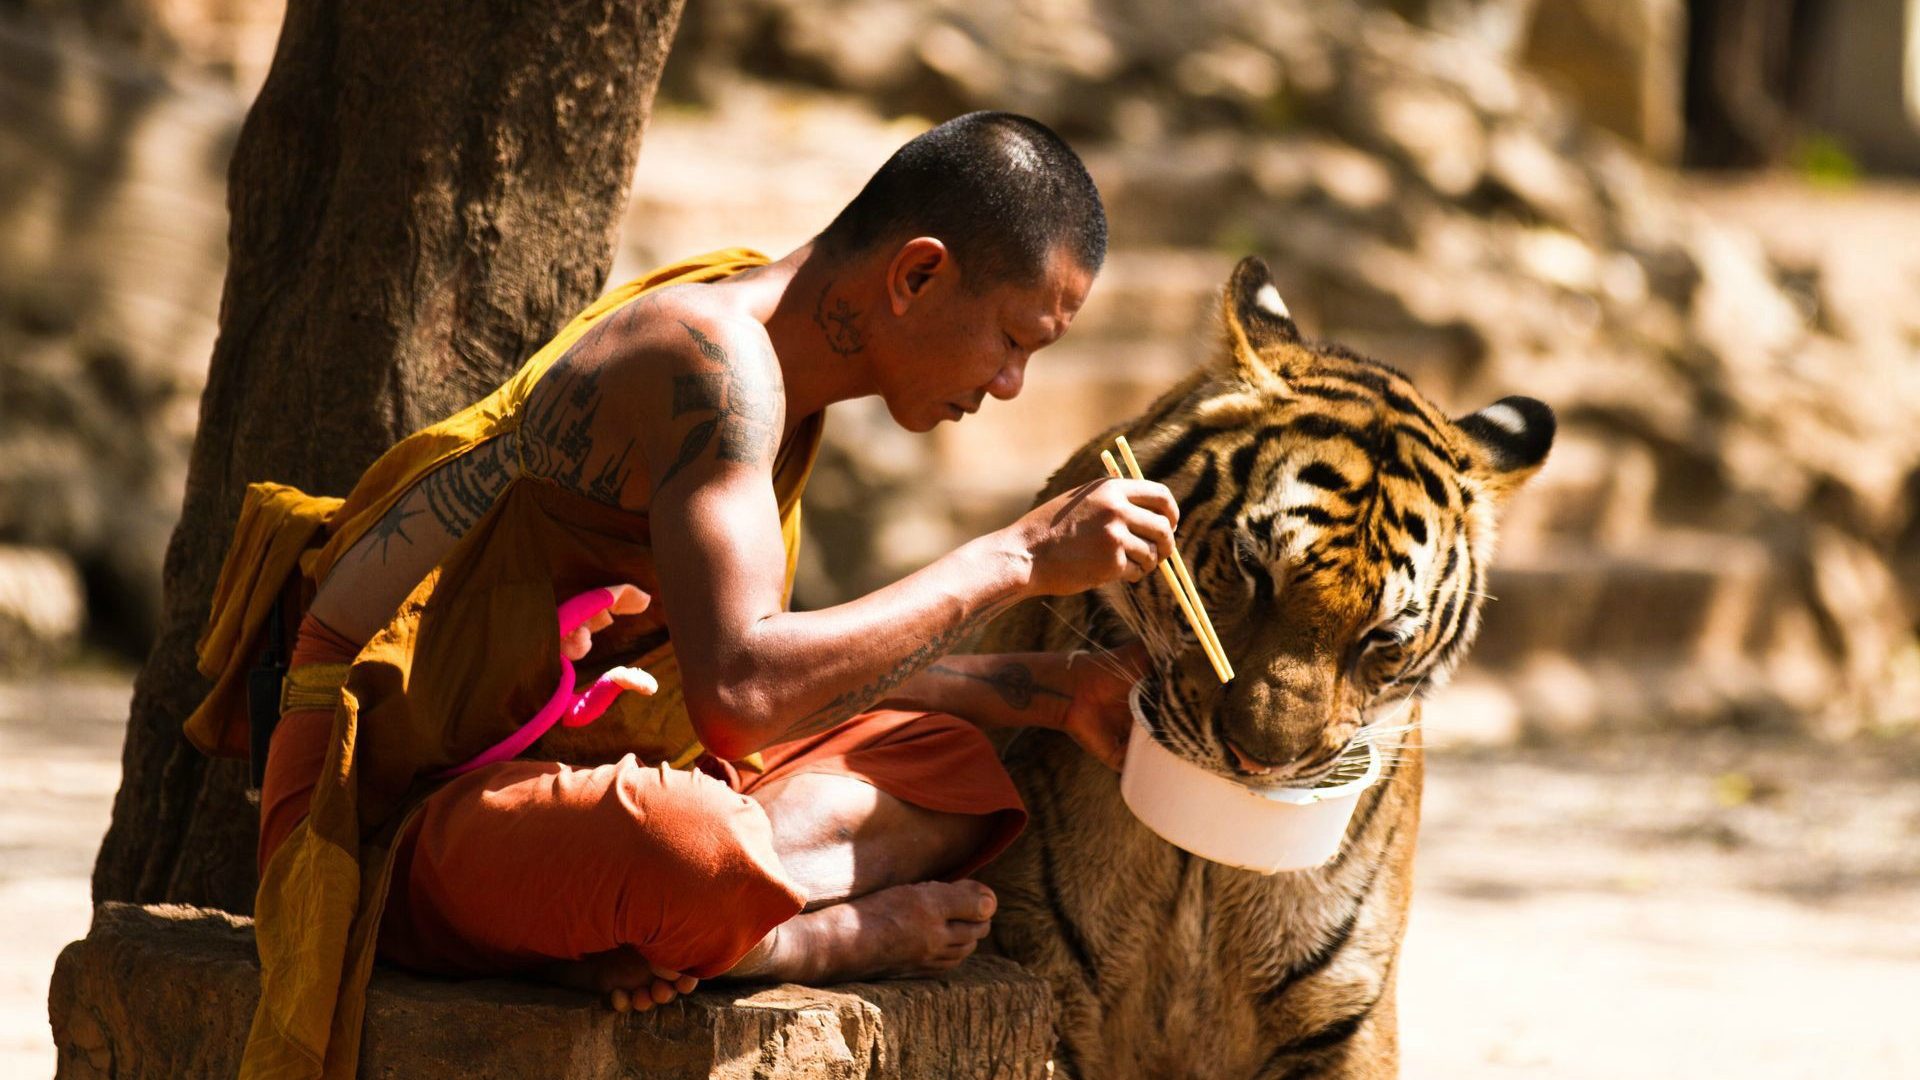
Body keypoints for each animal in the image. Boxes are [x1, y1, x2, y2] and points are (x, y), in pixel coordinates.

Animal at [974, 255, 1554, 1079]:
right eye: (1254, 570)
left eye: (1383, 637)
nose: (1258, 762)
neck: (1202, 866)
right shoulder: (1042, 973)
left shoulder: (1344, 1013)